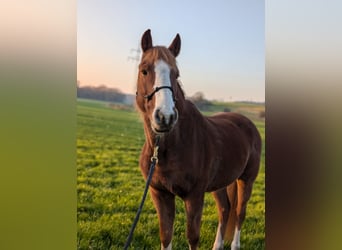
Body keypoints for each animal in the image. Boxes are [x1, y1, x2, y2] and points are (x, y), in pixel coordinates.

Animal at [135, 29, 260, 250]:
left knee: (239, 212)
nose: (165, 117)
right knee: (225, 209)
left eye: (176, 74)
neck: (167, 148)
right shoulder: (160, 194)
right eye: (144, 71)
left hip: (247, 179)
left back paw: (235, 245)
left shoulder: (194, 196)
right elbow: (165, 235)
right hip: (222, 182)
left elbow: (192, 236)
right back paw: (217, 245)